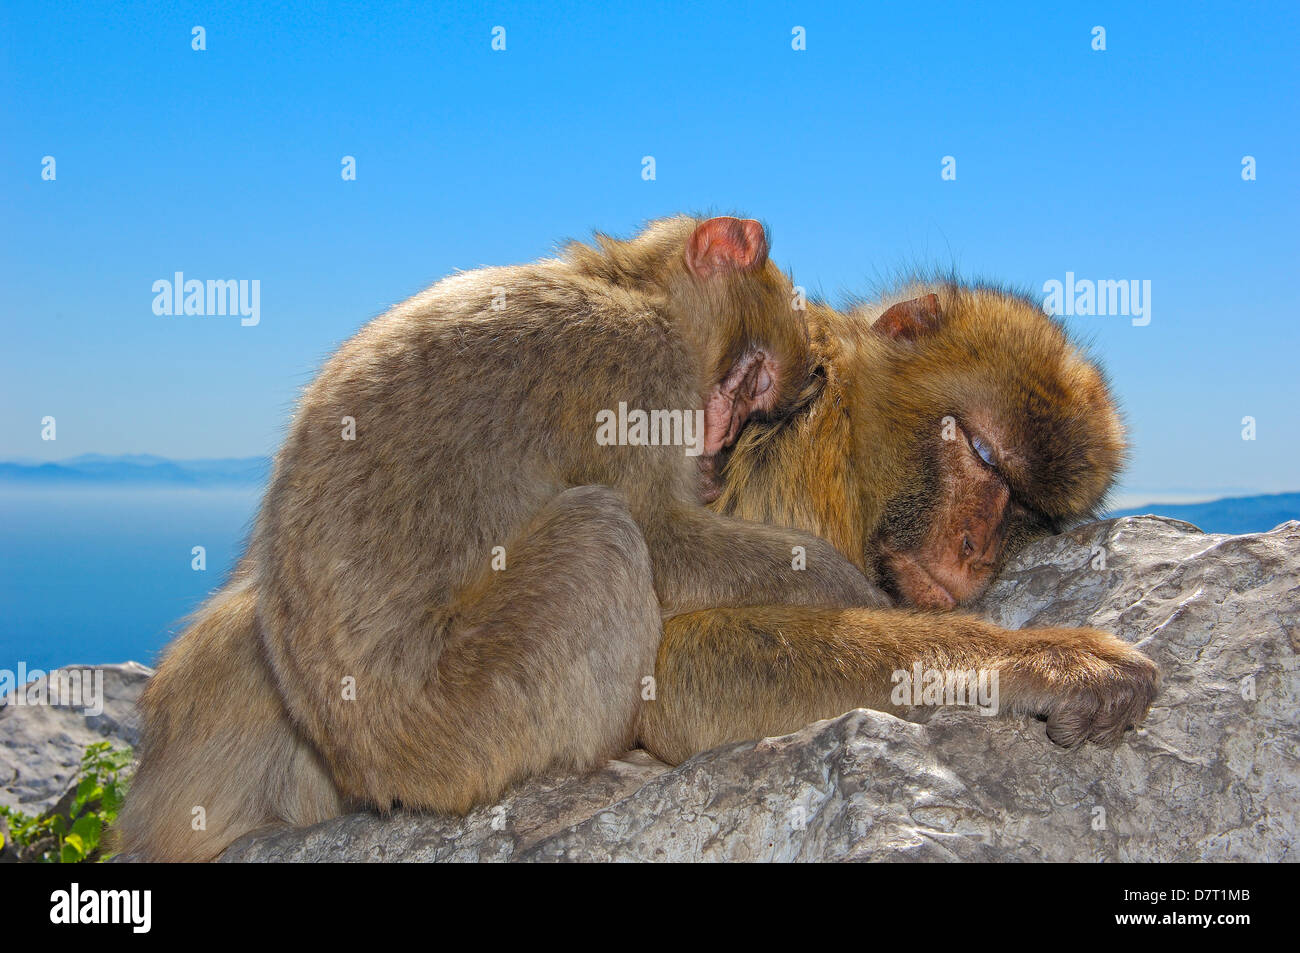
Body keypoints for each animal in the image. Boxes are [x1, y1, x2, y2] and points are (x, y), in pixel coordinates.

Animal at [116, 217, 1164, 863]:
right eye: (984, 457)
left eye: (1031, 513)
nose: (978, 550)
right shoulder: (775, 455)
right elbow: (687, 657)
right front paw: (1042, 658)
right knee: (601, 539)